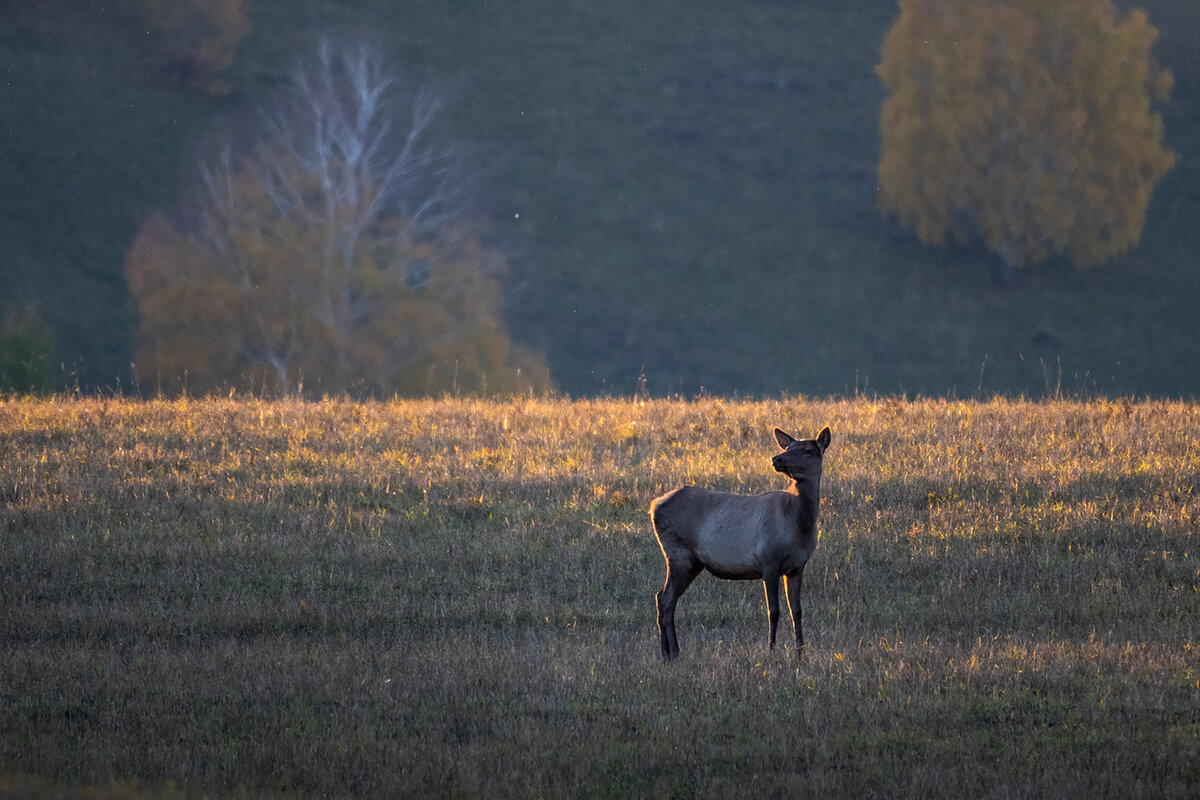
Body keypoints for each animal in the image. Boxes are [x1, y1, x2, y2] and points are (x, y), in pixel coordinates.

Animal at [652, 424, 830, 662]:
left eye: (807, 450)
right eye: (788, 447)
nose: (777, 458)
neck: (798, 523)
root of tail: (654, 505)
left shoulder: (797, 567)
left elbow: (797, 611)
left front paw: (800, 652)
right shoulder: (769, 560)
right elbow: (773, 611)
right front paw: (771, 650)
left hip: (692, 562)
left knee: (665, 599)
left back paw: (671, 652)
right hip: (678, 553)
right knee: (665, 598)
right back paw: (669, 653)